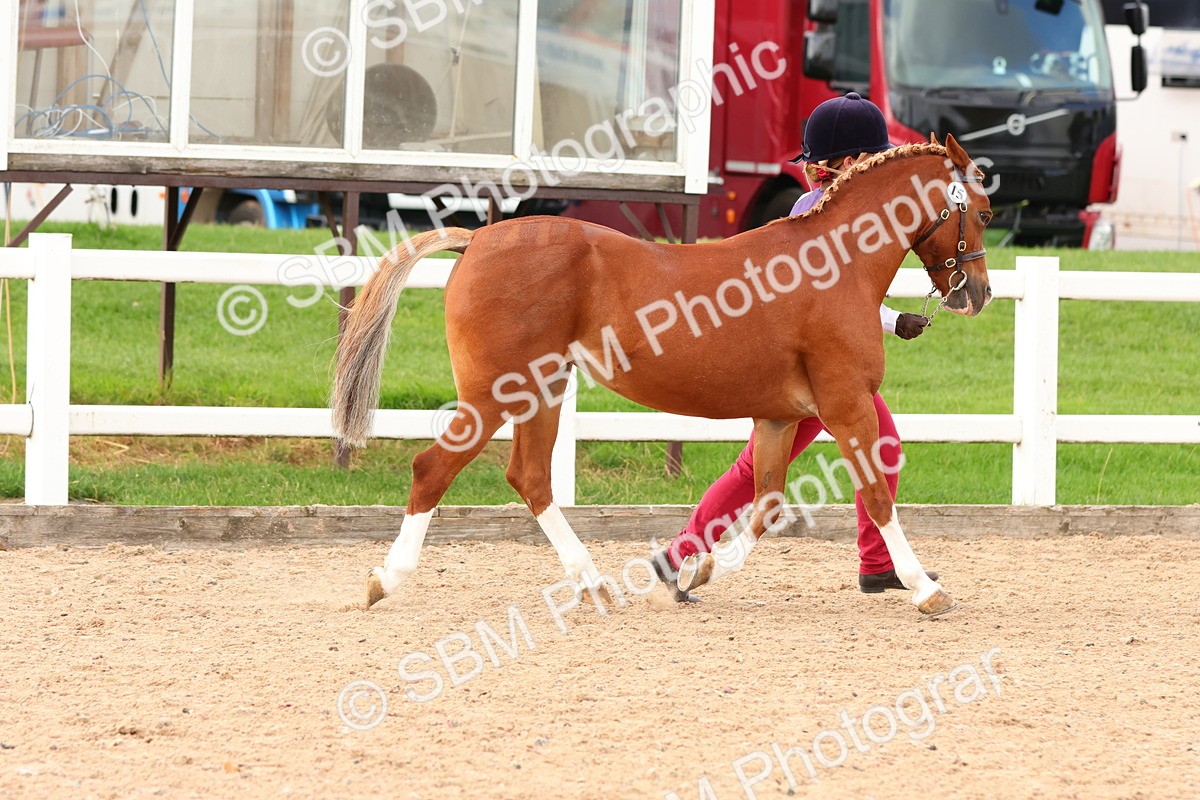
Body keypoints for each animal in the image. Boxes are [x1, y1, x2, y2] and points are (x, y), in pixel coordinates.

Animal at [333, 134, 993, 617]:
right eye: (984, 212)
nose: (979, 295)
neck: (835, 264)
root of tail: (476, 239)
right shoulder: (847, 404)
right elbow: (877, 495)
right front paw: (926, 589)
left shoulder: (779, 417)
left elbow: (767, 502)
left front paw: (699, 571)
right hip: (495, 395)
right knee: (432, 469)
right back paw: (385, 580)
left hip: (543, 390)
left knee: (531, 478)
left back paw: (595, 584)